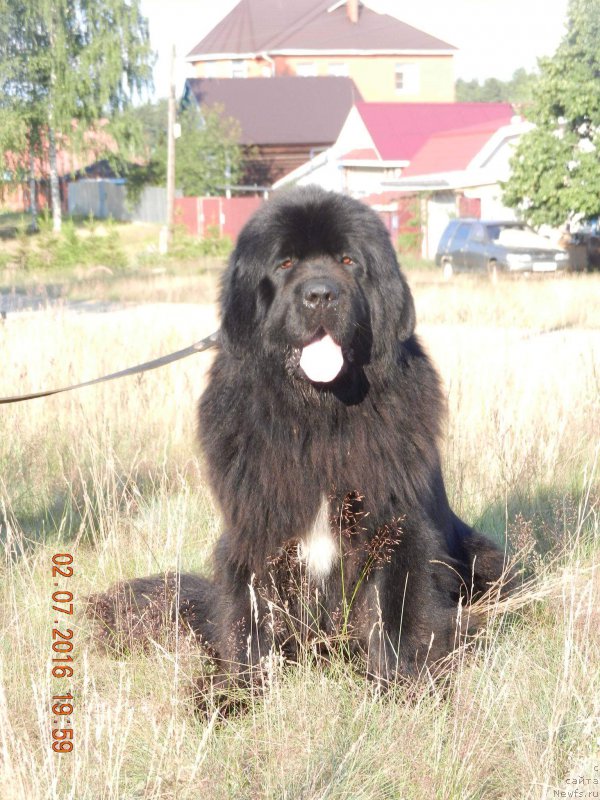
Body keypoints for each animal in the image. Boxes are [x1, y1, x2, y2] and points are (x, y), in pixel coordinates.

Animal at [90, 186, 510, 692]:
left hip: (488, 559)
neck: (318, 414)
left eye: (349, 261)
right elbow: (249, 621)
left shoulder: (396, 524)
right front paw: (236, 693)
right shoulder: (255, 530)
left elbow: (398, 610)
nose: (320, 294)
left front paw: (403, 684)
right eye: (285, 263)